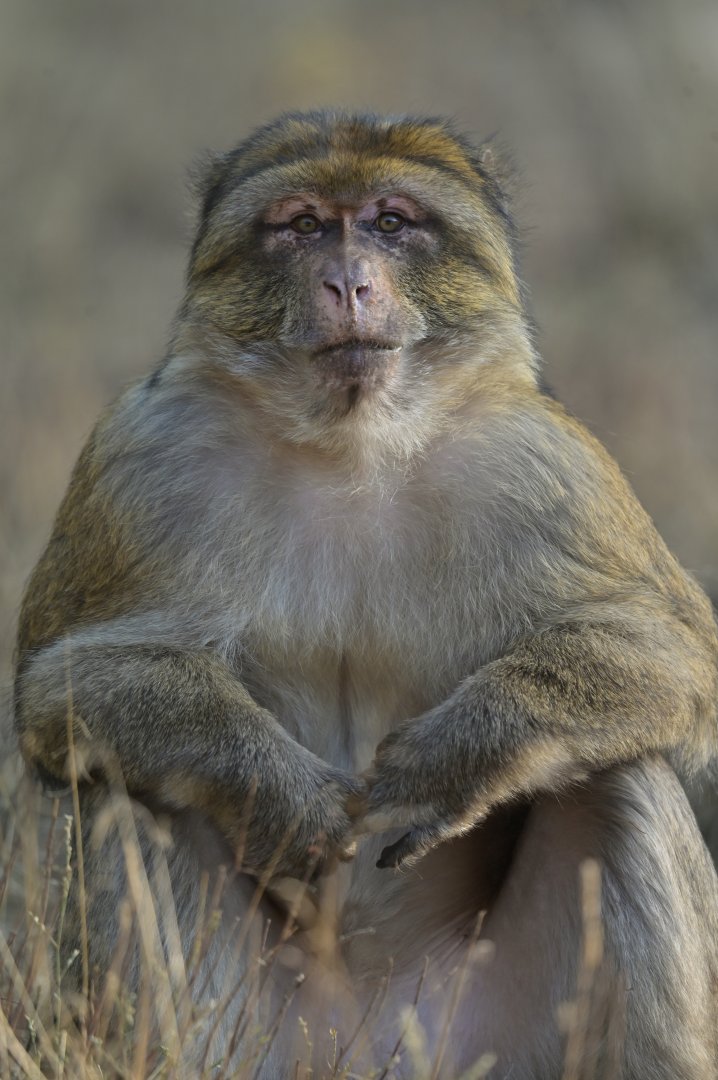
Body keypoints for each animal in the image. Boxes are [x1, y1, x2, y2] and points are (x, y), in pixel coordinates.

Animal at [13, 110, 718, 1078]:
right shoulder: (138, 455)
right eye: (304, 225)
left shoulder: (549, 464)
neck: (351, 441)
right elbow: (61, 685)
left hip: (491, 1034)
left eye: (390, 222)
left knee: (626, 776)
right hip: (253, 1032)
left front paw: (457, 757)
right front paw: (278, 797)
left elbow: (676, 656)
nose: (348, 282)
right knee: (103, 787)